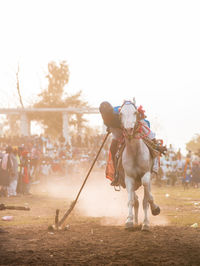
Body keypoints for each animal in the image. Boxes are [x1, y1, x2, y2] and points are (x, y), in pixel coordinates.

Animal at [119, 98, 160, 230]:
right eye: (121, 114)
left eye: (135, 112)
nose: (128, 130)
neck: (135, 153)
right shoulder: (128, 178)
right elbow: (131, 201)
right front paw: (129, 221)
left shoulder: (146, 174)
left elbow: (146, 200)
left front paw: (146, 223)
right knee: (135, 200)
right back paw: (136, 220)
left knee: (145, 197)